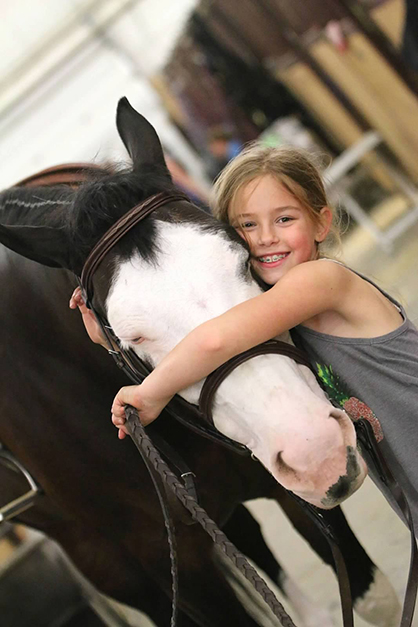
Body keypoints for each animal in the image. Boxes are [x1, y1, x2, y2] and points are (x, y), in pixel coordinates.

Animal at [0, 99, 398, 627]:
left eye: (244, 257)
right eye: (132, 336)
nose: (316, 451)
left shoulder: (288, 487)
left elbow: (374, 596)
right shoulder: (173, 567)